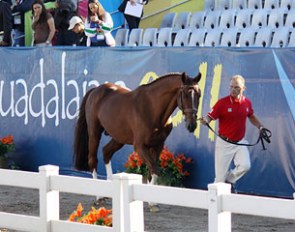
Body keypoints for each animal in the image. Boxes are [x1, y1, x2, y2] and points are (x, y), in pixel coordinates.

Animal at [74, 71, 202, 184]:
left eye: (199, 95)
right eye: (185, 94)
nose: (192, 125)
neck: (152, 109)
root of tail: (95, 90)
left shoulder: (157, 145)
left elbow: (152, 174)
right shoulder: (140, 147)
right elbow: (155, 170)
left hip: (119, 138)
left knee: (106, 152)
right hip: (94, 133)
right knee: (93, 160)